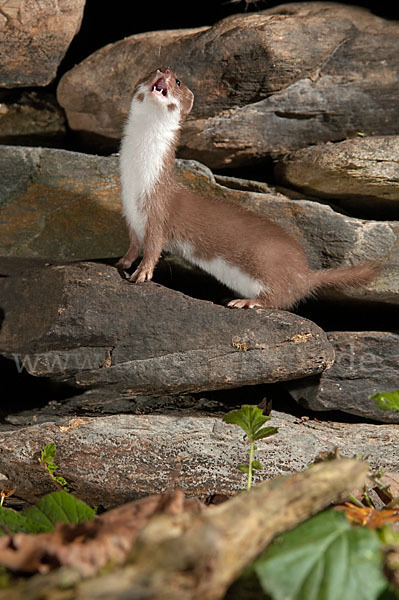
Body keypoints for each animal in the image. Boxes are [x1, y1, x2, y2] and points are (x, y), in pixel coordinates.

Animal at [118, 67, 382, 308]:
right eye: (152, 71)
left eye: (178, 81)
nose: (165, 70)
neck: (136, 181)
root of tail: (305, 274)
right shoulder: (131, 215)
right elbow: (134, 244)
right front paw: (123, 262)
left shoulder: (159, 214)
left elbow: (153, 248)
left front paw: (142, 273)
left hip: (266, 265)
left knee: (278, 298)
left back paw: (244, 301)